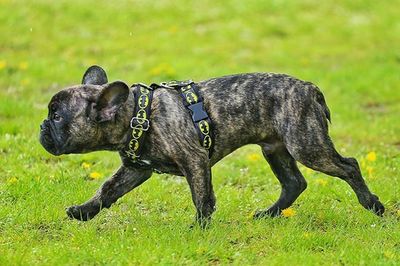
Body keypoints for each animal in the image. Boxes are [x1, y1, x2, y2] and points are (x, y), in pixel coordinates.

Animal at [39, 65, 384, 225]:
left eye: (57, 116)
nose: (42, 126)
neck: (138, 114)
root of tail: (311, 89)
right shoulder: (136, 169)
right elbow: (108, 190)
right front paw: (83, 212)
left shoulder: (195, 161)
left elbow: (202, 198)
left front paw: (199, 229)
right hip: (275, 148)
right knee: (294, 183)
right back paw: (268, 214)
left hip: (305, 145)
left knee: (349, 166)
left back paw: (373, 205)